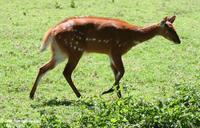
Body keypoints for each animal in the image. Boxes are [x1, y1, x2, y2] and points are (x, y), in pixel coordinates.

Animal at [29, 15, 181, 99]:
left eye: (174, 27)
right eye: (169, 29)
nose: (178, 41)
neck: (132, 37)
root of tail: (52, 31)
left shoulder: (110, 54)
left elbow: (116, 72)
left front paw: (119, 96)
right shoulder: (116, 50)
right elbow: (122, 71)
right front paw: (107, 91)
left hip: (60, 52)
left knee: (43, 68)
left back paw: (31, 95)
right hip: (75, 50)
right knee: (66, 72)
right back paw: (79, 95)